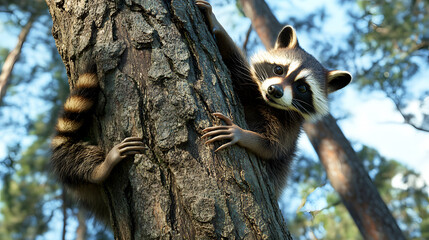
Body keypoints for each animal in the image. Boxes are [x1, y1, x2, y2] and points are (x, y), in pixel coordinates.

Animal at [197, 0, 352, 197]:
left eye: (302, 88)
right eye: (279, 69)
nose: (275, 90)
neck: (268, 103)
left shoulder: (290, 129)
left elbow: (272, 148)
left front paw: (240, 134)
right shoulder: (249, 84)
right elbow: (233, 61)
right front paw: (217, 25)